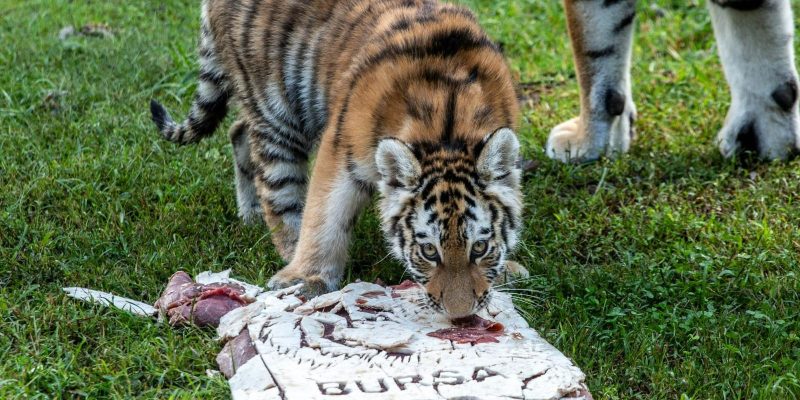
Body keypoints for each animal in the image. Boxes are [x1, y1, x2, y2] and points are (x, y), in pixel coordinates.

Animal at [149, 0, 528, 318]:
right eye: (429, 251)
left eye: (480, 247)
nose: (460, 315)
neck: (448, 130)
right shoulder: (341, 150)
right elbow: (325, 216)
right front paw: (308, 276)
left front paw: (506, 270)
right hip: (275, 110)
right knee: (279, 191)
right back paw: (287, 248)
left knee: (238, 130)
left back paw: (251, 215)